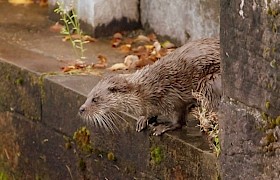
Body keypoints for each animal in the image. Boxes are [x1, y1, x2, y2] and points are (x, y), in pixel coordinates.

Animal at [79, 38, 221, 136]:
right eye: (88, 96)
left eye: (95, 99)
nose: (81, 109)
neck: (146, 91)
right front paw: (144, 119)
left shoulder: (172, 98)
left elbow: (179, 120)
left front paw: (163, 127)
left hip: (208, 82)